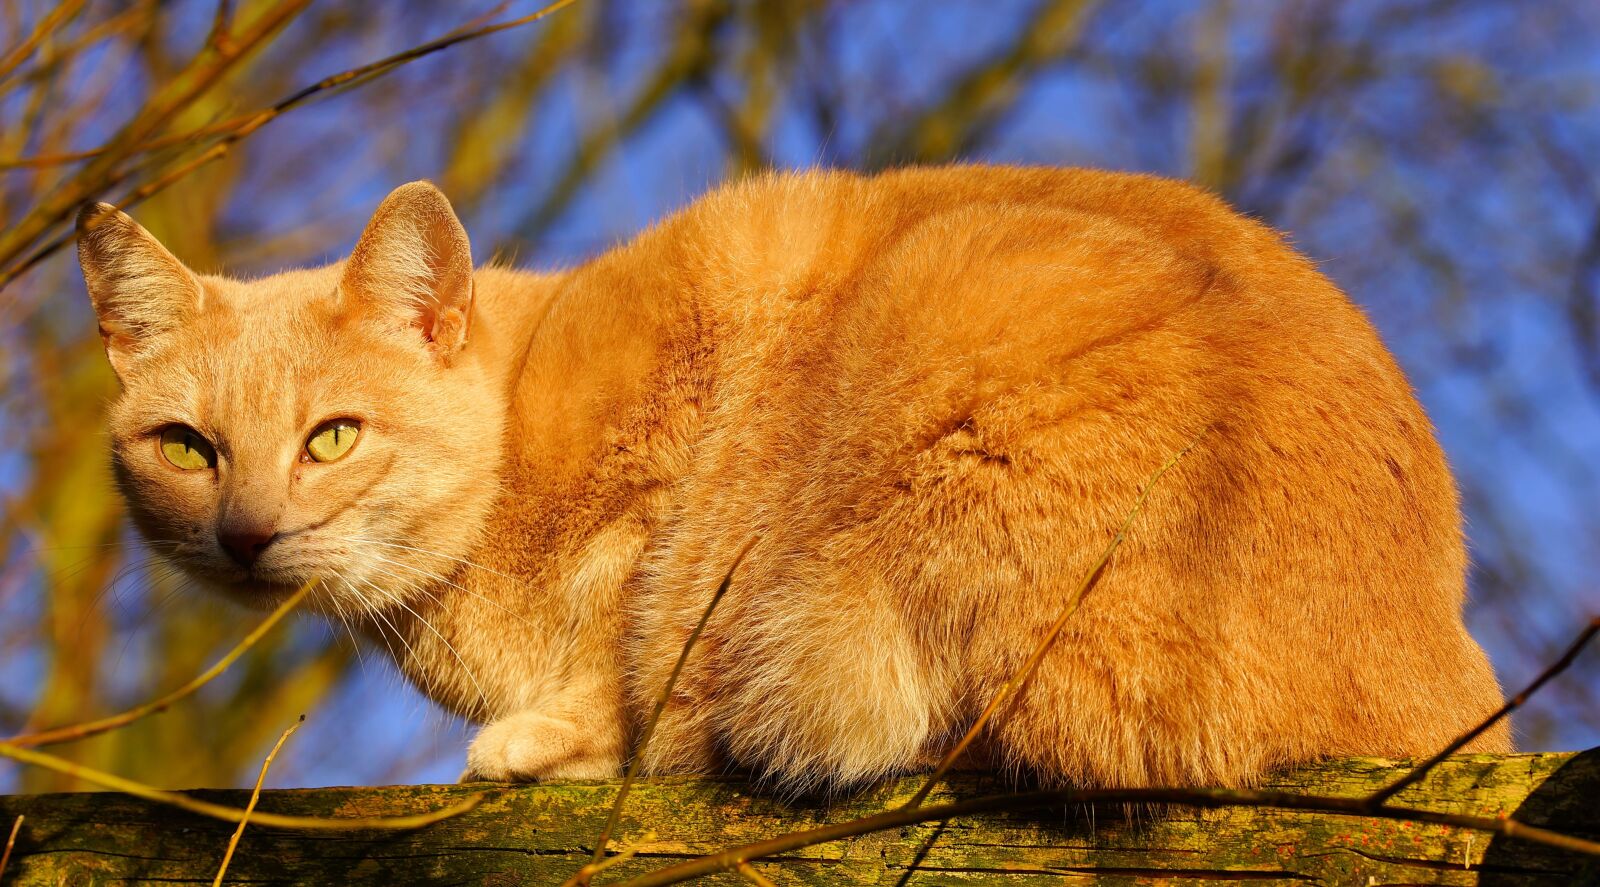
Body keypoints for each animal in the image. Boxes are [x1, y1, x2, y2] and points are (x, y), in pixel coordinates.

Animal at [75, 165, 1504, 787]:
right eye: (188, 447)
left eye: (332, 436)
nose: (247, 532)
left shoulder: (688, 432)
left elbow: (635, 630)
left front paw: (557, 738)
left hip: (955, 293)